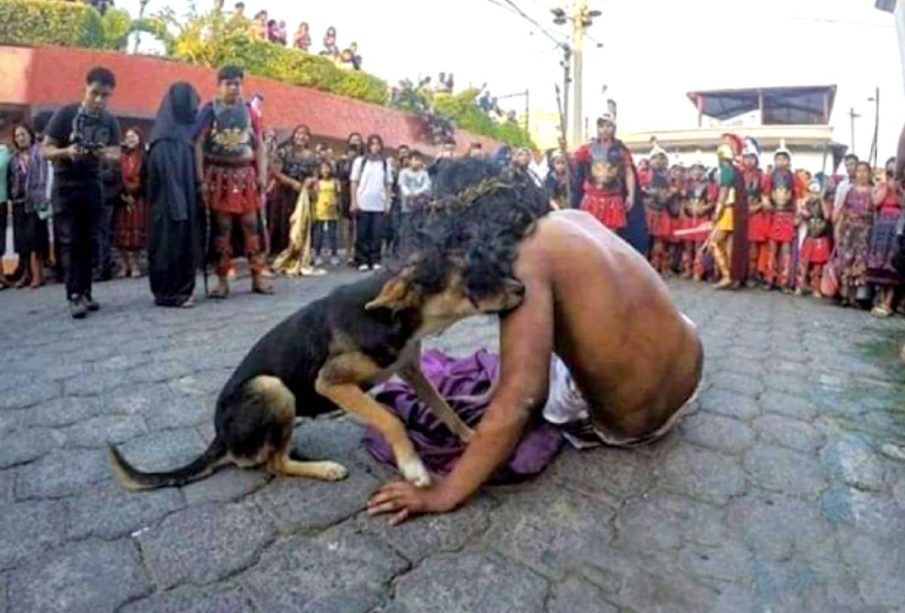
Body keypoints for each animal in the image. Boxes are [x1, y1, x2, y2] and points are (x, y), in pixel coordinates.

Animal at [110, 262, 528, 488]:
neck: (391, 317)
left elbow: (445, 408)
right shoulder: (329, 381)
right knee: (273, 464)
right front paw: (413, 467)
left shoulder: (410, 368)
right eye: (471, 275)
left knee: (272, 454)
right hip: (273, 388)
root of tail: (219, 437)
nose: (523, 287)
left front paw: (471, 436)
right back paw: (324, 468)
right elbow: (390, 419)